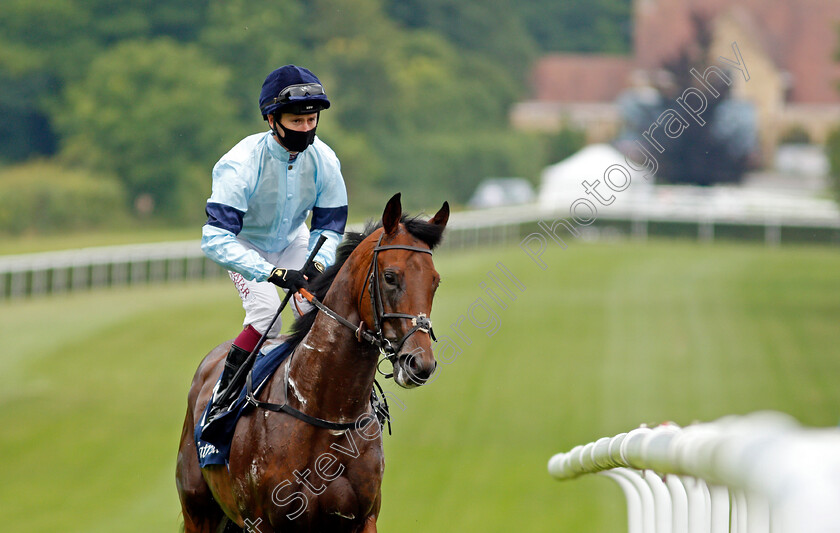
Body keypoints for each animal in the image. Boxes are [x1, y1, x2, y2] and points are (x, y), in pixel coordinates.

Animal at [172, 192, 446, 532]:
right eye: (390, 277)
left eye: (435, 281)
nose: (419, 363)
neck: (324, 411)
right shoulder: (262, 522)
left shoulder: (363, 518)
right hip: (198, 510)